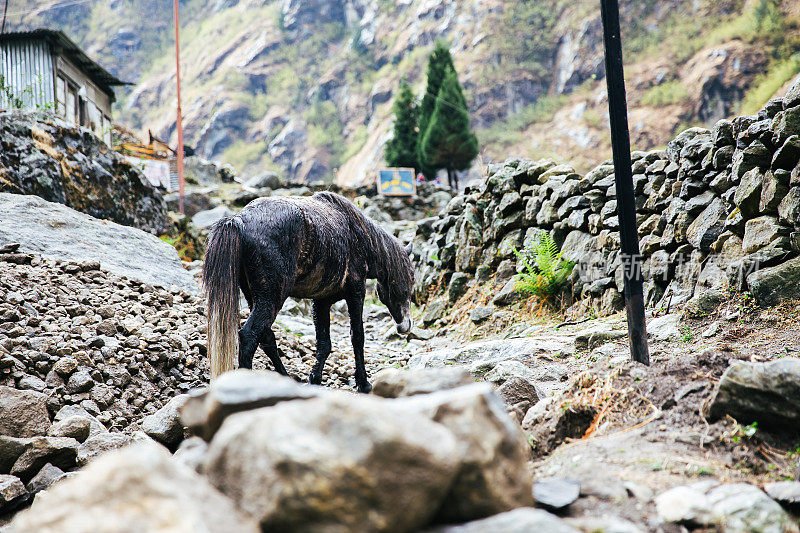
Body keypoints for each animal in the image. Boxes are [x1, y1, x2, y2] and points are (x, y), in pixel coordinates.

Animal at [202, 191, 412, 390]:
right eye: (410, 278)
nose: (405, 327)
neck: (361, 237)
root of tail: (239, 220)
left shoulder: (321, 301)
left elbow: (324, 343)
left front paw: (315, 378)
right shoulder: (356, 292)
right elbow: (357, 336)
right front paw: (364, 383)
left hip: (256, 297)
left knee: (266, 336)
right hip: (271, 298)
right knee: (249, 336)